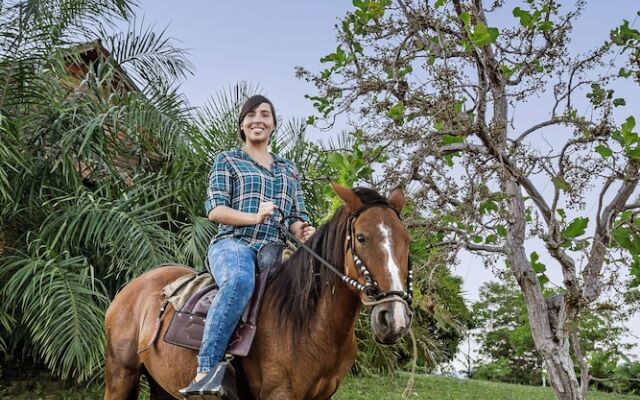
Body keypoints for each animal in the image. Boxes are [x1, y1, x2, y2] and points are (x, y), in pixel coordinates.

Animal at [104, 183, 416, 398]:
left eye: (407, 240)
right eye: (361, 238)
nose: (393, 318)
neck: (306, 322)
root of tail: (133, 287)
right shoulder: (280, 394)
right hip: (120, 375)